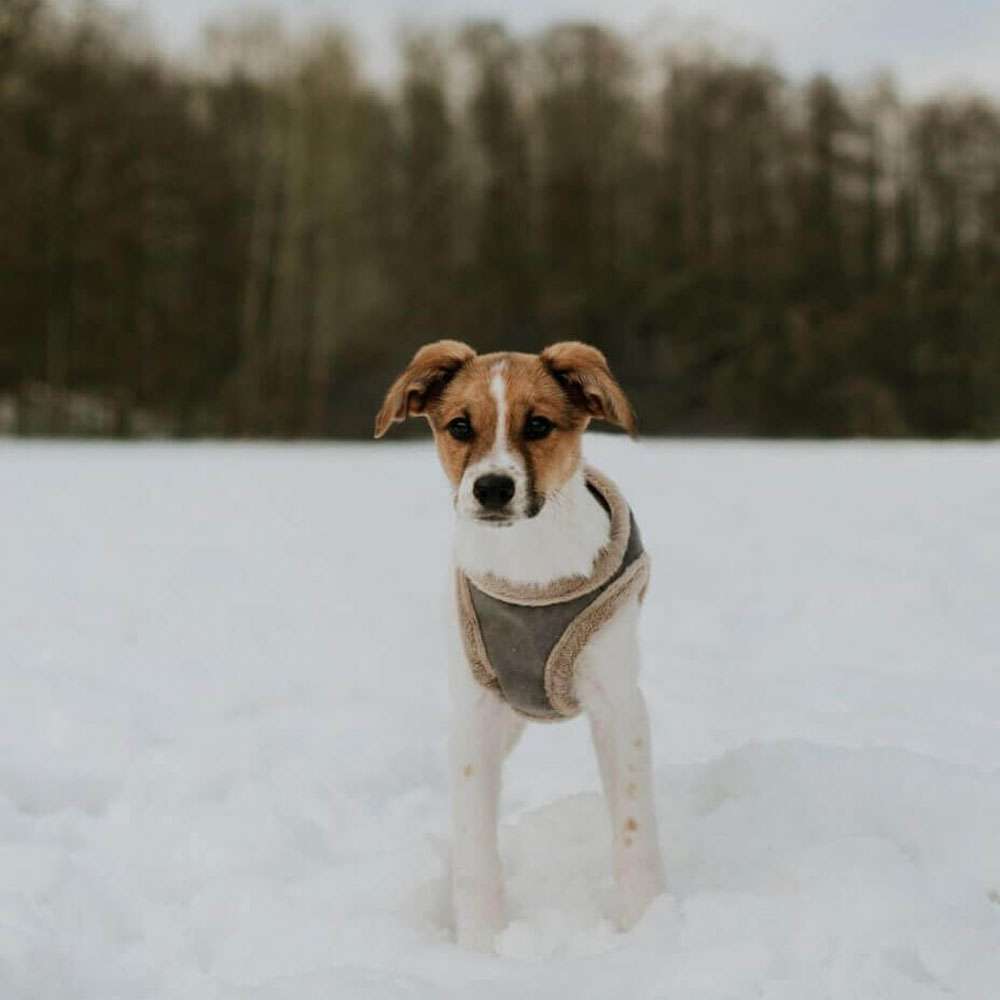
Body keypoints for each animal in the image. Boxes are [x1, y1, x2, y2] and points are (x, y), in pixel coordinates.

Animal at [376, 340, 664, 948]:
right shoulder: (476, 715)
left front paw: (647, 925)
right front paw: (482, 945)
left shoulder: (619, 707)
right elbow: (475, 845)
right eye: (460, 427)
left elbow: (633, 830)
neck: (528, 562)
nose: (492, 487)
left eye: (538, 425)